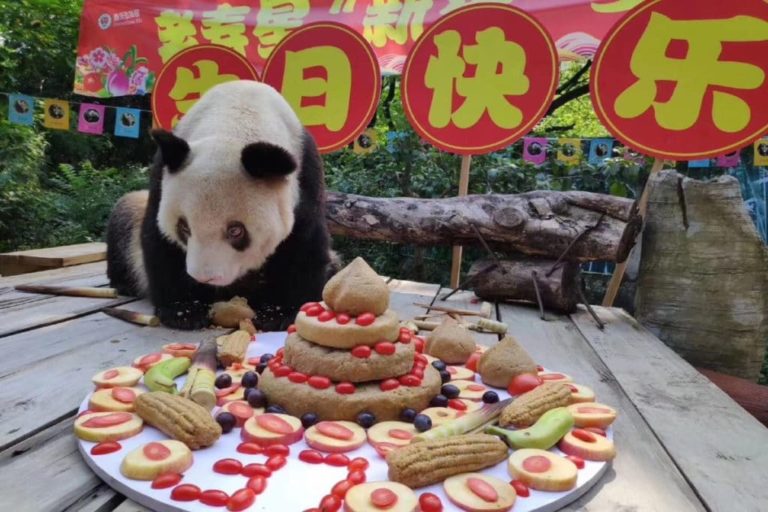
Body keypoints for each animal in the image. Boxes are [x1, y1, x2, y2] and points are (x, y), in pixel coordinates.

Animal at [106, 80, 334, 331]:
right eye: (184, 228)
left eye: (236, 231)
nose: (204, 278)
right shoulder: (162, 173)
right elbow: (159, 239)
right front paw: (184, 310)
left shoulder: (305, 173)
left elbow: (303, 243)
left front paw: (279, 311)